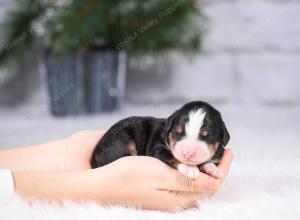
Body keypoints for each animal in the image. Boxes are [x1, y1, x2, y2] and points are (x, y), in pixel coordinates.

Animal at [91, 101, 230, 179]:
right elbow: (172, 156)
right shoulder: (157, 148)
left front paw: (212, 168)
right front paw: (189, 169)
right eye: (178, 132)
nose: (188, 152)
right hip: (118, 143)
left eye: (207, 135)